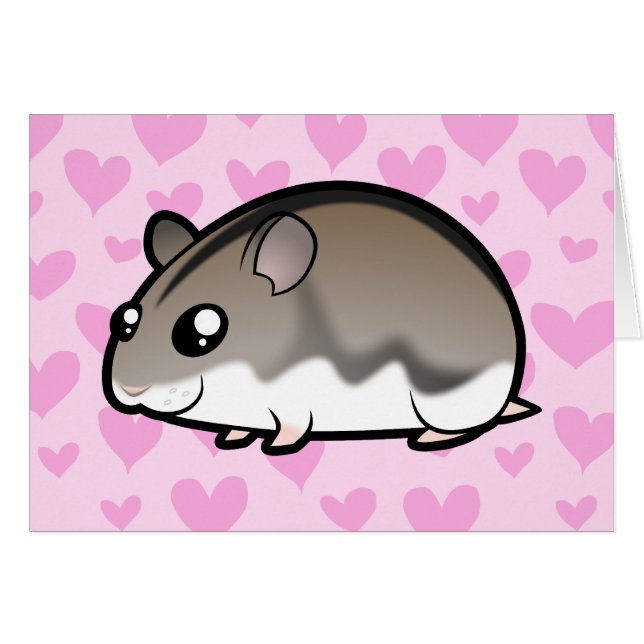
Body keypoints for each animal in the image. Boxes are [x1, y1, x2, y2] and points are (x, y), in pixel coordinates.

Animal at [102, 181, 540, 454]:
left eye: (200, 332)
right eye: (125, 320)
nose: (130, 389)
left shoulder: (293, 402)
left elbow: (290, 426)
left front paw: (275, 445)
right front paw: (232, 436)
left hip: (446, 396)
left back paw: (431, 438)